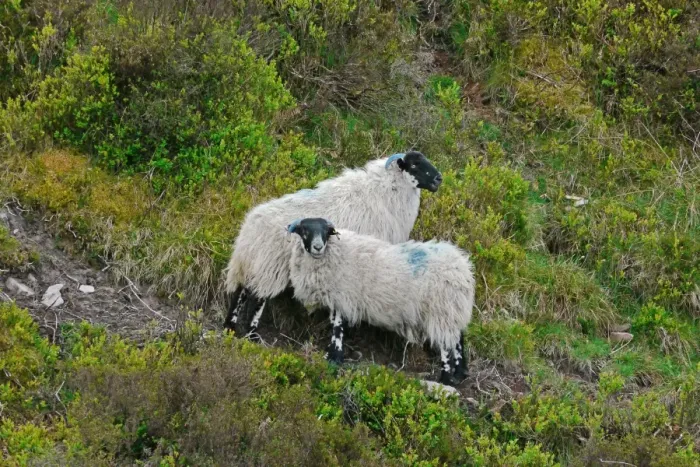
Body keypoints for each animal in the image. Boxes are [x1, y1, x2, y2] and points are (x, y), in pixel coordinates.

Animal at [223, 151, 442, 338]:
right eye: (414, 164)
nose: (439, 179)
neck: (385, 192)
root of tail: (250, 228)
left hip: (253, 264)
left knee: (241, 292)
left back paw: (230, 328)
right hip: (269, 266)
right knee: (257, 298)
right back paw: (251, 335)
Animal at [286, 217, 475, 386]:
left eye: (326, 231)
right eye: (304, 230)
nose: (318, 247)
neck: (334, 253)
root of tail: (462, 268)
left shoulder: (343, 297)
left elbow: (337, 329)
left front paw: (335, 357)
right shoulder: (337, 299)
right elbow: (334, 325)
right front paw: (331, 355)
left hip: (441, 311)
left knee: (446, 345)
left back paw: (446, 379)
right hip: (454, 310)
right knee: (457, 341)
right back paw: (459, 374)